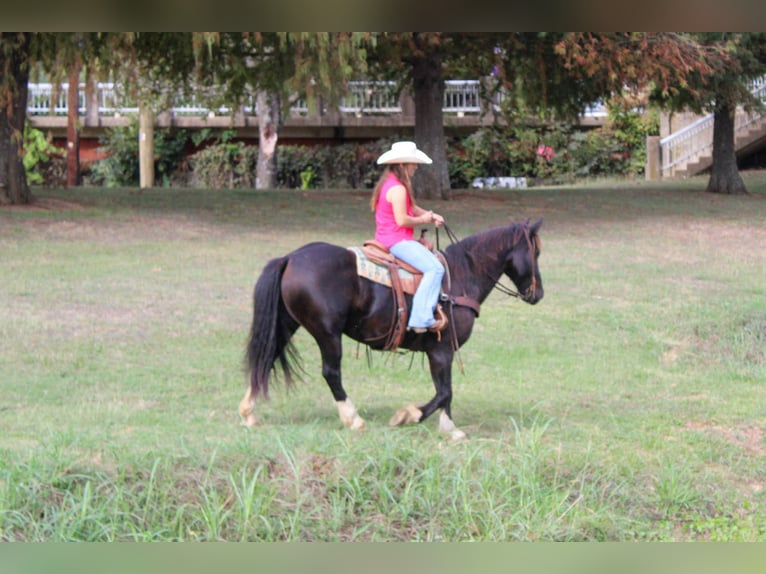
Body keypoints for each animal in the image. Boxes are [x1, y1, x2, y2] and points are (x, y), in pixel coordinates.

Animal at [240, 219, 543, 440]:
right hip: (328, 333)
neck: (460, 276)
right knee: (331, 373)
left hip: (288, 324)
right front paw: (408, 416)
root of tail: (290, 258)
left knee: (265, 358)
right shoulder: (441, 349)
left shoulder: (441, 351)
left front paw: (449, 428)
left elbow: (445, 389)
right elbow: (444, 391)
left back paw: (248, 412)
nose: (538, 294)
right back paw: (353, 419)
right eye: (536, 252)